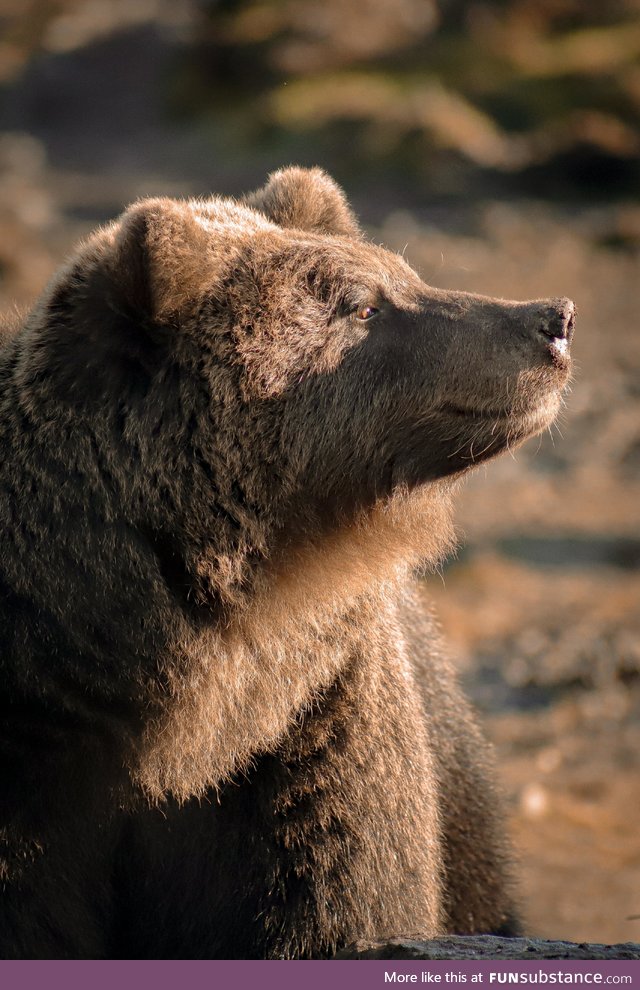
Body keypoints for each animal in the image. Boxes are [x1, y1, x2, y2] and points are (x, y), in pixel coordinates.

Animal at [0, 169, 576, 960]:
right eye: (364, 304)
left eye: (404, 275)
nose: (553, 318)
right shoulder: (35, 748)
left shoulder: (308, 726)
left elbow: (336, 901)